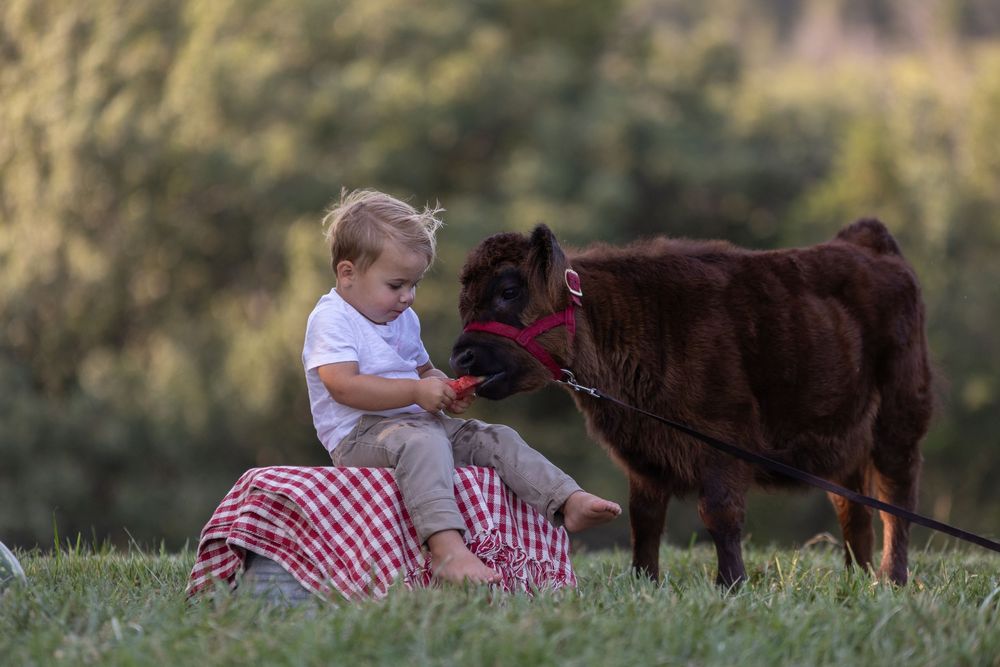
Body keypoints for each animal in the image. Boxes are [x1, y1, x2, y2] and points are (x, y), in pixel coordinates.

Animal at [449, 219, 932, 586]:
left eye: (509, 291)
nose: (460, 356)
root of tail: (865, 243)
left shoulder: (724, 440)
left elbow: (719, 513)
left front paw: (731, 584)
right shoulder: (644, 454)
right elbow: (644, 520)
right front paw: (644, 581)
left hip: (900, 419)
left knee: (898, 499)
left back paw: (892, 578)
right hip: (844, 438)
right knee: (853, 506)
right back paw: (857, 577)